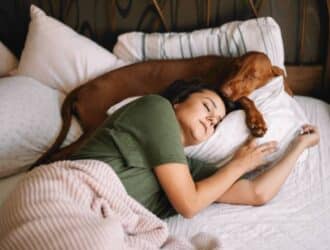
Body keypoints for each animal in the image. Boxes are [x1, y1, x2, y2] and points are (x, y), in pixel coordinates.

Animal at [31, 50, 292, 168]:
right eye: (236, 67)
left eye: (252, 75)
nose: (224, 90)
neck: (224, 67)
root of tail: (82, 87)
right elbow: (247, 100)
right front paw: (257, 121)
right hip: (94, 128)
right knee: (60, 154)